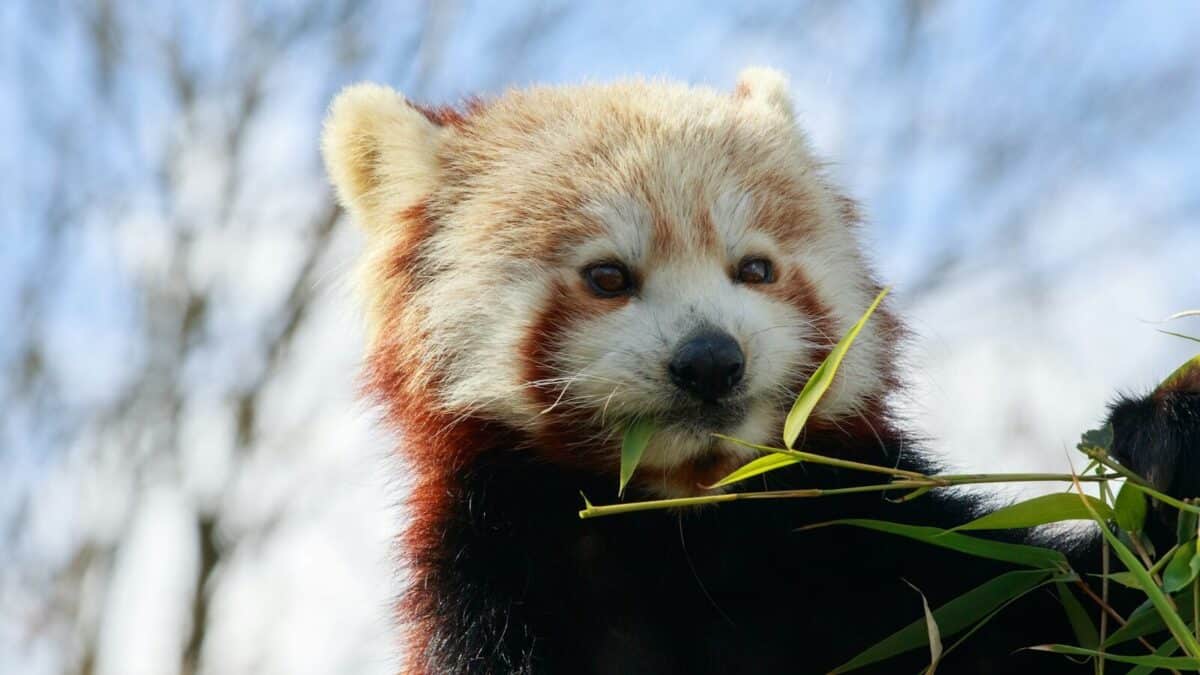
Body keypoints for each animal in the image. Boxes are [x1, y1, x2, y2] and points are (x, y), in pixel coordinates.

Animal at [320, 68, 1200, 674]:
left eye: (755, 269)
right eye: (607, 276)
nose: (711, 360)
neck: (691, 531)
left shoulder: (890, 567)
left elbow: (1095, 619)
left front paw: (1167, 440)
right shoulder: (495, 599)